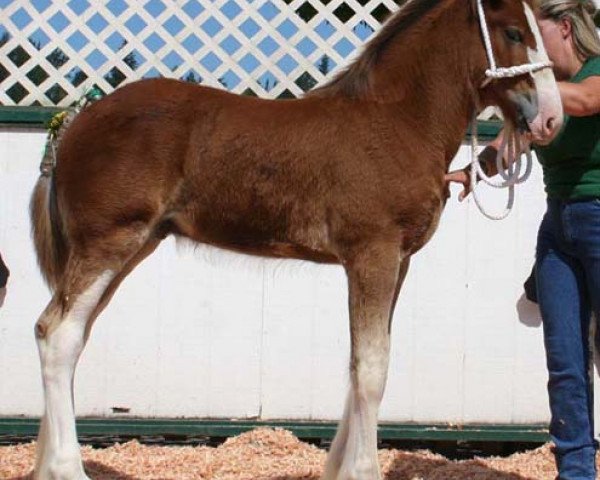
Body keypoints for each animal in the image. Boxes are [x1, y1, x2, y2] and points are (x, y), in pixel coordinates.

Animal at [28, 0, 564, 476]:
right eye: (514, 32)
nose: (551, 119)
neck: (398, 121)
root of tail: (74, 124)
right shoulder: (372, 254)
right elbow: (372, 368)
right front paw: (362, 470)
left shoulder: (397, 261)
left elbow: (361, 364)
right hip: (108, 242)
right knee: (59, 335)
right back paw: (66, 468)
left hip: (134, 245)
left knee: (69, 335)